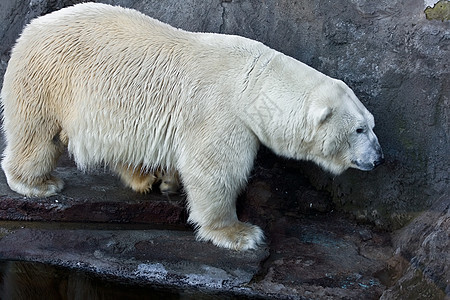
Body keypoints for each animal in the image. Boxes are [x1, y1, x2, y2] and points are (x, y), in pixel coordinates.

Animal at [0, 2, 384, 251]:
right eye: (359, 129)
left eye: (371, 123)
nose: (379, 158)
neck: (253, 82)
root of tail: (32, 27)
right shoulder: (221, 112)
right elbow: (215, 170)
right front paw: (240, 233)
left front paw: (170, 181)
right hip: (47, 77)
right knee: (37, 133)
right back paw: (38, 183)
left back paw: (145, 178)